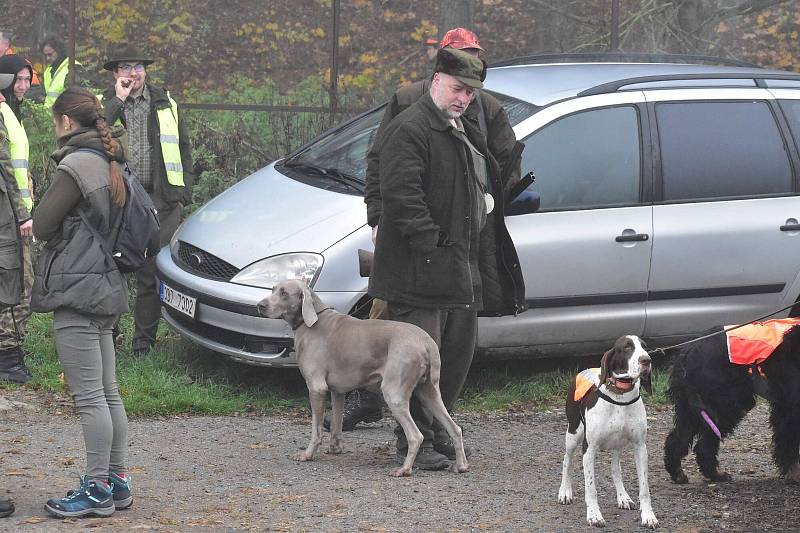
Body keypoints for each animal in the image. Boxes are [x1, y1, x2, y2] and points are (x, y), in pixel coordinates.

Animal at [256, 278, 468, 474]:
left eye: (284, 293)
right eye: (273, 289)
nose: (260, 305)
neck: (313, 321)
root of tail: (426, 341)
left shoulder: (316, 388)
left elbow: (316, 429)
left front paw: (307, 454)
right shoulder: (337, 391)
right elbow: (336, 424)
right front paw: (335, 449)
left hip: (394, 392)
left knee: (416, 435)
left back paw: (404, 469)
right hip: (429, 392)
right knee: (455, 428)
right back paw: (461, 465)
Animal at [556, 336, 656, 528]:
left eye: (645, 347)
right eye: (627, 347)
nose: (646, 360)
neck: (620, 395)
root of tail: (585, 369)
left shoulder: (640, 447)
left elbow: (644, 488)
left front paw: (648, 515)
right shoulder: (589, 448)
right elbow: (591, 487)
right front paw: (594, 515)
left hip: (617, 445)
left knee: (615, 469)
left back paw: (623, 497)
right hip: (573, 434)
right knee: (566, 461)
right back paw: (565, 491)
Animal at [664, 322, 800, 484]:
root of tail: (686, 353)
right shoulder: (790, 407)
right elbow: (788, 441)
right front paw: (793, 473)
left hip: (692, 408)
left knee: (677, 438)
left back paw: (679, 473)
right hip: (726, 405)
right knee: (704, 445)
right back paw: (714, 474)